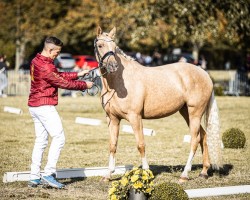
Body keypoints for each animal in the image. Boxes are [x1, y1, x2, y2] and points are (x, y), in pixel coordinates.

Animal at [94, 27, 221, 183]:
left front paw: (146, 173)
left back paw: (184, 174)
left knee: (195, 139)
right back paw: (203, 171)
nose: (113, 66)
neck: (117, 84)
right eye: (100, 45)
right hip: (186, 112)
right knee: (203, 136)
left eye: (114, 46)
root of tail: (204, 73)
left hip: (195, 113)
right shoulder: (113, 119)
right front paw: (108, 174)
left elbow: (140, 144)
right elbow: (112, 145)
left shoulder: (135, 117)